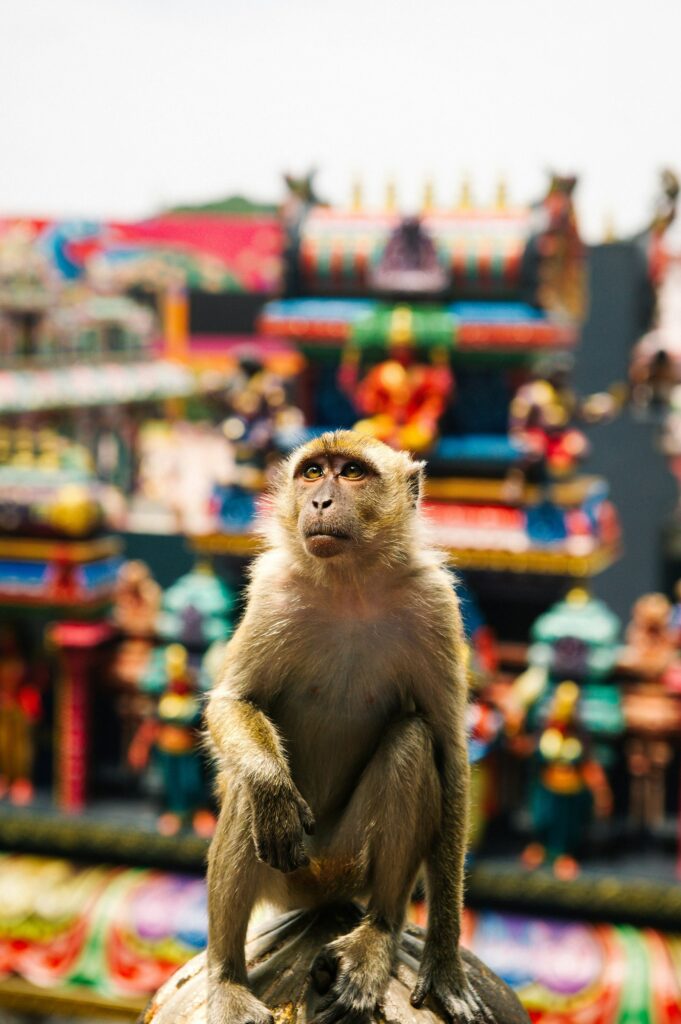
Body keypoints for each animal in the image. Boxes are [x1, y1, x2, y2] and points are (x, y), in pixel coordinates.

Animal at [204, 428, 481, 1019]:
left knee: (412, 741)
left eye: (351, 472)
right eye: (312, 472)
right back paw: (226, 976)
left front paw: (445, 959)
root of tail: (324, 891)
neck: (351, 583)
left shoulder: (436, 604)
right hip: (291, 874)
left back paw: (378, 933)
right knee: (247, 795)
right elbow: (232, 704)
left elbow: (449, 752)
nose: (320, 501)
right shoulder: (272, 593)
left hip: (348, 860)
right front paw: (271, 786)